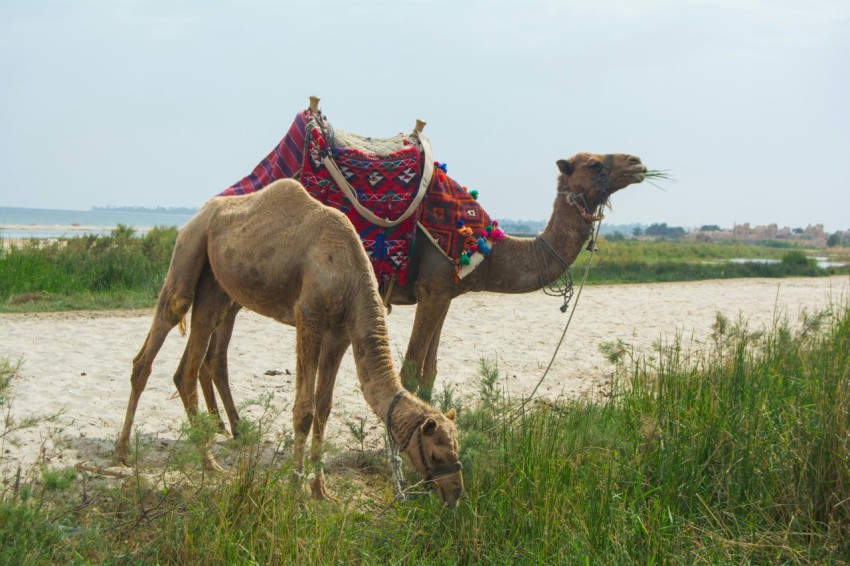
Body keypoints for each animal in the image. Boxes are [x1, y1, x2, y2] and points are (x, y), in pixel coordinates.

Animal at [114, 179, 464, 508]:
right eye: (436, 455)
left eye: (456, 448)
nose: (454, 494)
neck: (351, 274)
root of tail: (199, 214)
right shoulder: (308, 317)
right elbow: (304, 411)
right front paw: (296, 493)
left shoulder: (340, 332)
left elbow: (324, 407)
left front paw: (321, 491)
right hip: (190, 246)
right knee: (164, 326)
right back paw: (126, 452)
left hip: (215, 282)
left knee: (191, 358)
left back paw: (208, 462)